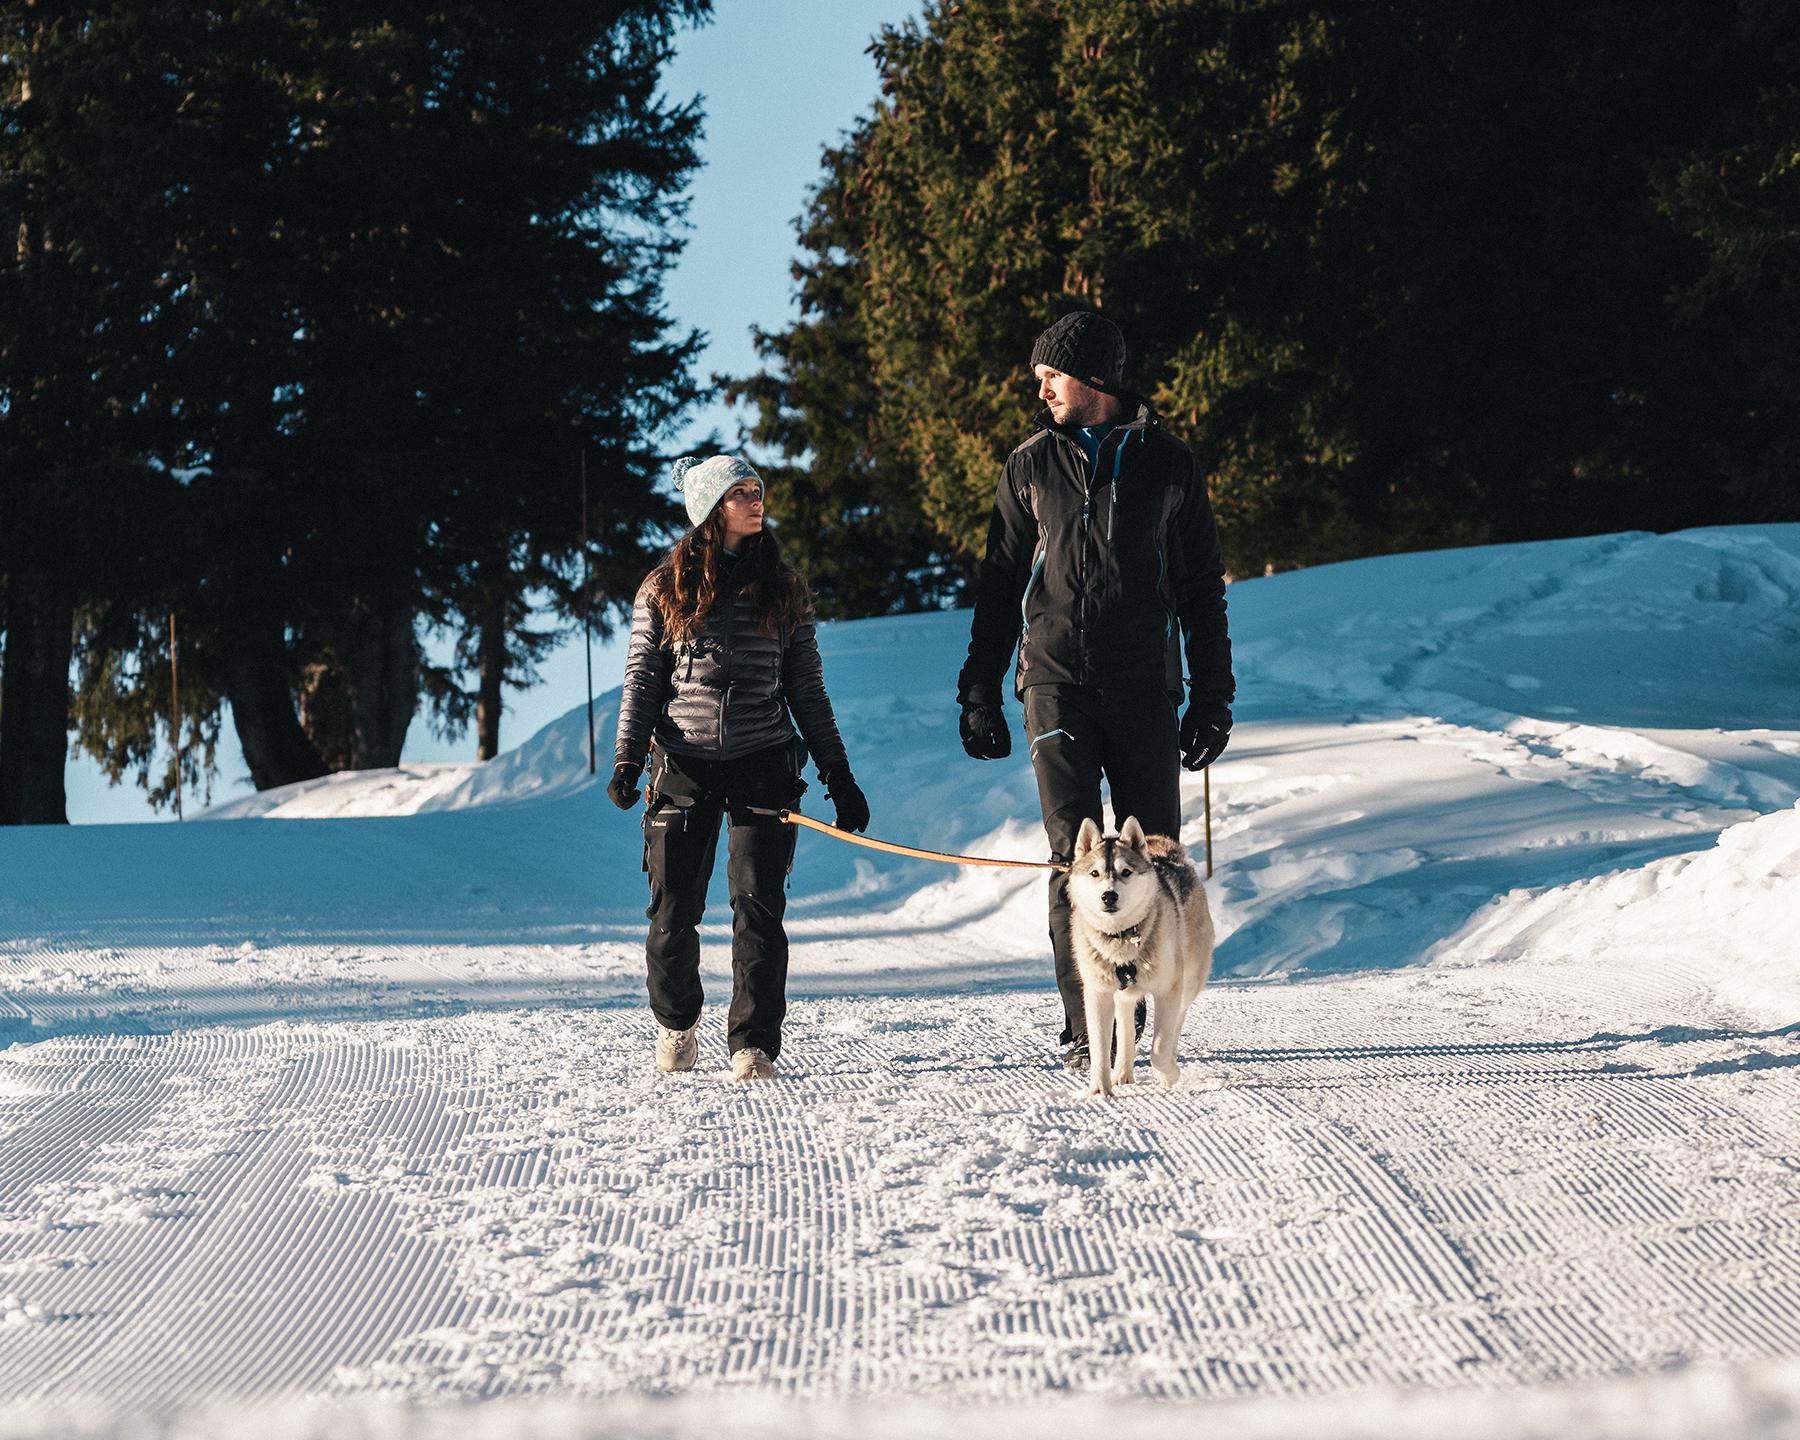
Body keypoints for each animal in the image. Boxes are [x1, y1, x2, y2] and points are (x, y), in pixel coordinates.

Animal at [1058, 817, 1216, 1094]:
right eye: (1095, 873)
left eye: (1126, 872)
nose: (1109, 895)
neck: (1121, 936)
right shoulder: (1098, 993)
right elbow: (1100, 1049)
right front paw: (1099, 1091)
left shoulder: (1168, 989)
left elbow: (1160, 1047)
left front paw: (1168, 1074)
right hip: (1123, 995)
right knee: (1126, 1028)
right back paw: (1122, 1071)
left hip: (1188, 981)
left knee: (1176, 1023)